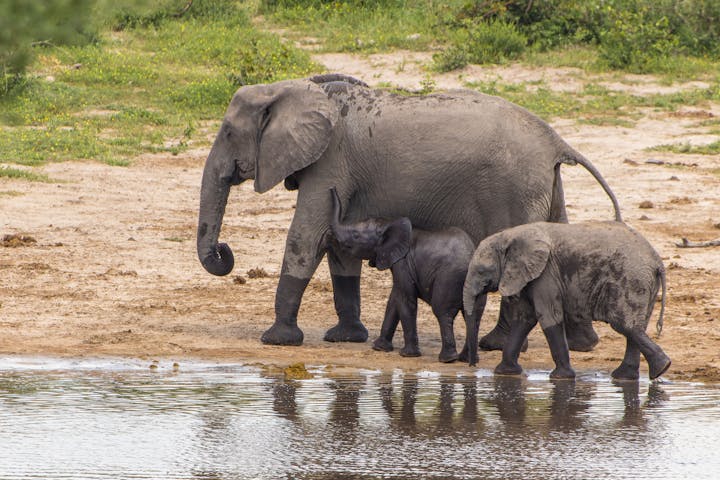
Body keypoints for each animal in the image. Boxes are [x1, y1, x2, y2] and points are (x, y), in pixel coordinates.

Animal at [195, 73, 620, 346]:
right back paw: (583, 345)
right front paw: (346, 339)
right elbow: (338, 245)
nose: (225, 252)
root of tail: (556, 141)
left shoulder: (331, 163)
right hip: (546, 185)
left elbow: (307, 237)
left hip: (515, 188)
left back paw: (494, 345)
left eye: (228, 133)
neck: (292, 89)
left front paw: (277, 341)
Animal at [330, 188, 480, 364]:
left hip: (449, 278)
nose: (332, 189)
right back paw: (467, 359)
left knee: (443, 312)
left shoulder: (403, 263)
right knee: (473, 316)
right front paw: (379, 348)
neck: (388, 224)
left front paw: (407, 354)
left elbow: (405, 299)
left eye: (355, 235)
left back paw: (448, 359)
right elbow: (395, 299)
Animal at [464, 222, 672, 382]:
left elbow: (548, 316)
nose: (472, 366)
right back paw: (629, 376)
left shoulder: (546, 273)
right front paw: (504, 373)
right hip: (644, 282)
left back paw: (660, 368)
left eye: (481, 271)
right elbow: (524, 319)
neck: (509, 235)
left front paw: (560, 378)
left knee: (623, 323)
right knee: (635, 326)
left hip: (631, 279)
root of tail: (657, 262)